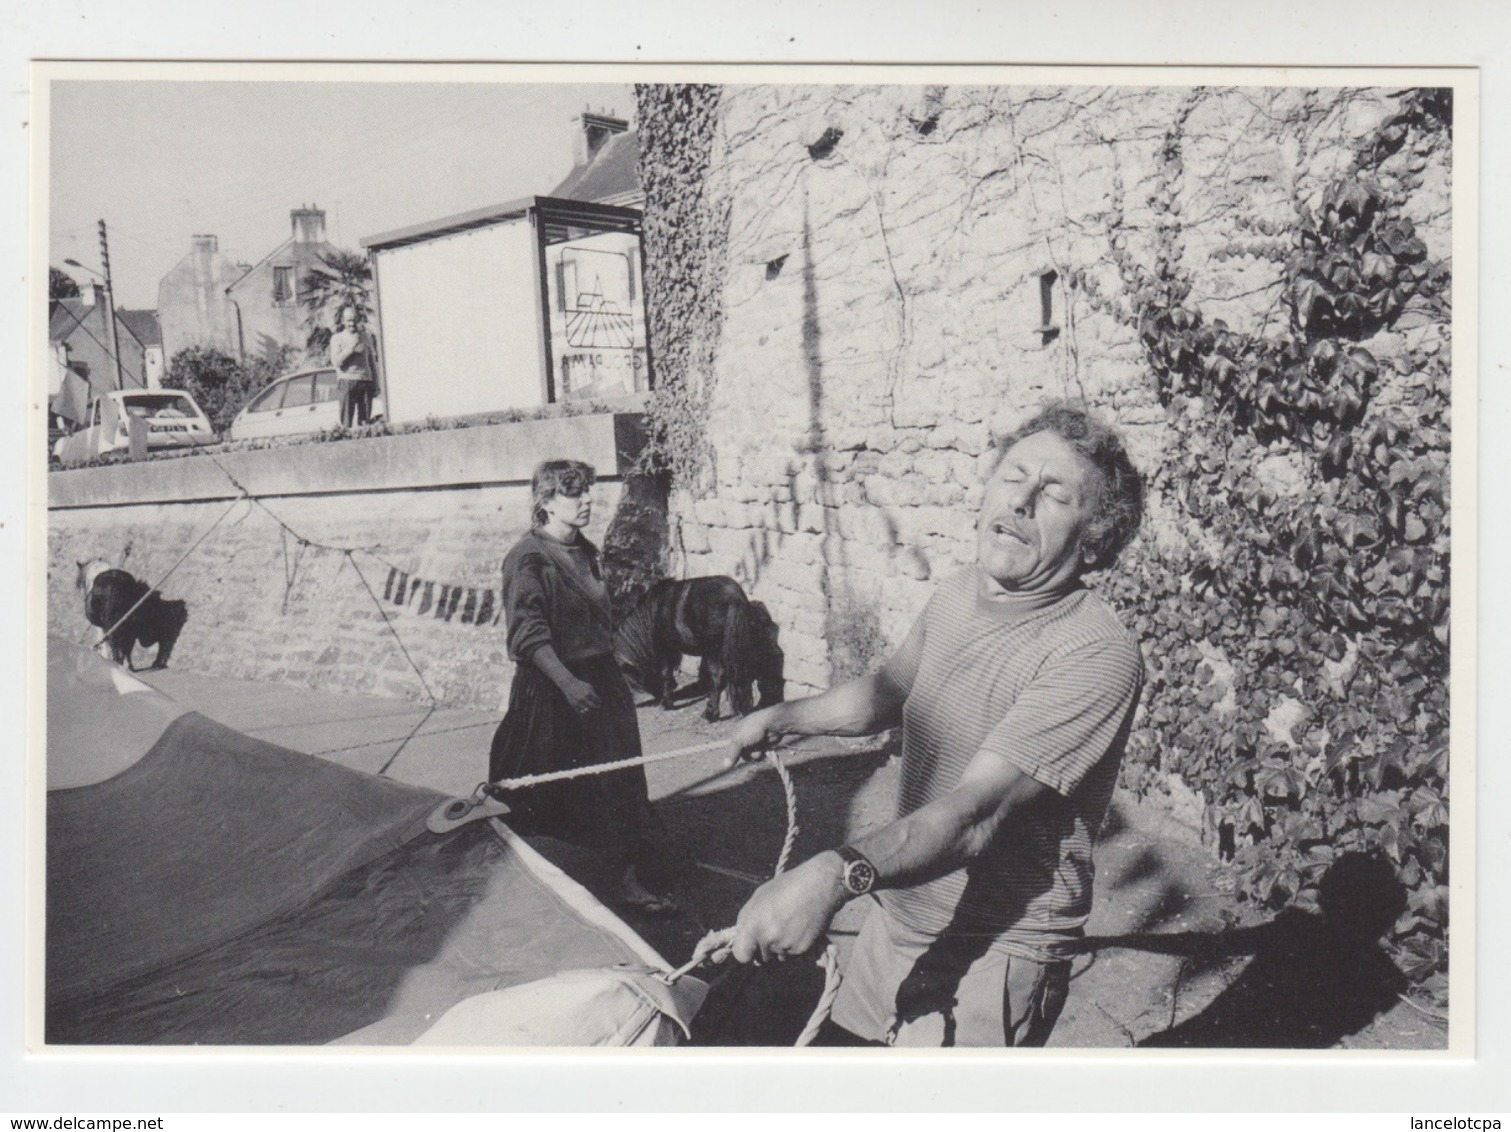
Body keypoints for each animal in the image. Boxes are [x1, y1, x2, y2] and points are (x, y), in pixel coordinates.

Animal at [613, 577, 779, 719]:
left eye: (627, 676)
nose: (657, 696)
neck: (652, 613)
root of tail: (734, 597)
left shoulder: (665, 648)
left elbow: (665, 672)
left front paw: (667, 702)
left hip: (713, 650)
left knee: (718, 677)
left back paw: (710, 713)